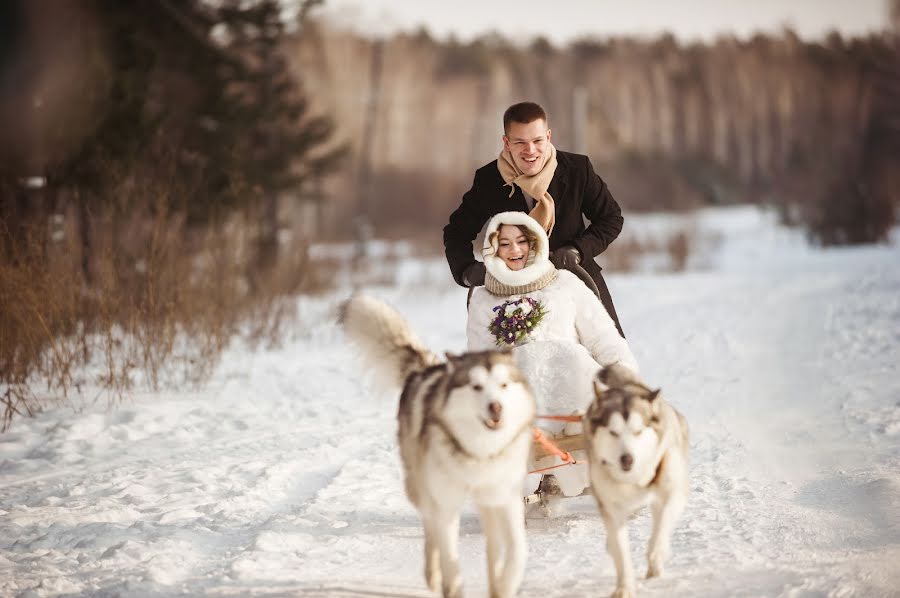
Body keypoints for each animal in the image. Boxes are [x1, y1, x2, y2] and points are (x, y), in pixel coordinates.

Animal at [338, 296, 536, 598]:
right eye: (476, 387)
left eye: (503, 385)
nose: (496, 407)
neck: (479, 451)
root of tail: (426, 369)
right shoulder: (445, 502)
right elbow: (448, 555)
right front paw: (450, 584)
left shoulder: (504, 496)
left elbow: (516, 550)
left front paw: (504, 584)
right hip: (421, 488)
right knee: (431, 531)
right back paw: (433, 576)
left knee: (491, 543)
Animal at [584, 366, 688, 598]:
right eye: (613, 432)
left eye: (638, 432)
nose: (627, 459)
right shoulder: (611, 507)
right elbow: (621, 551)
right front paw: (625, 587)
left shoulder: (672, 492)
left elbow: (661, 528)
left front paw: (657, 555)